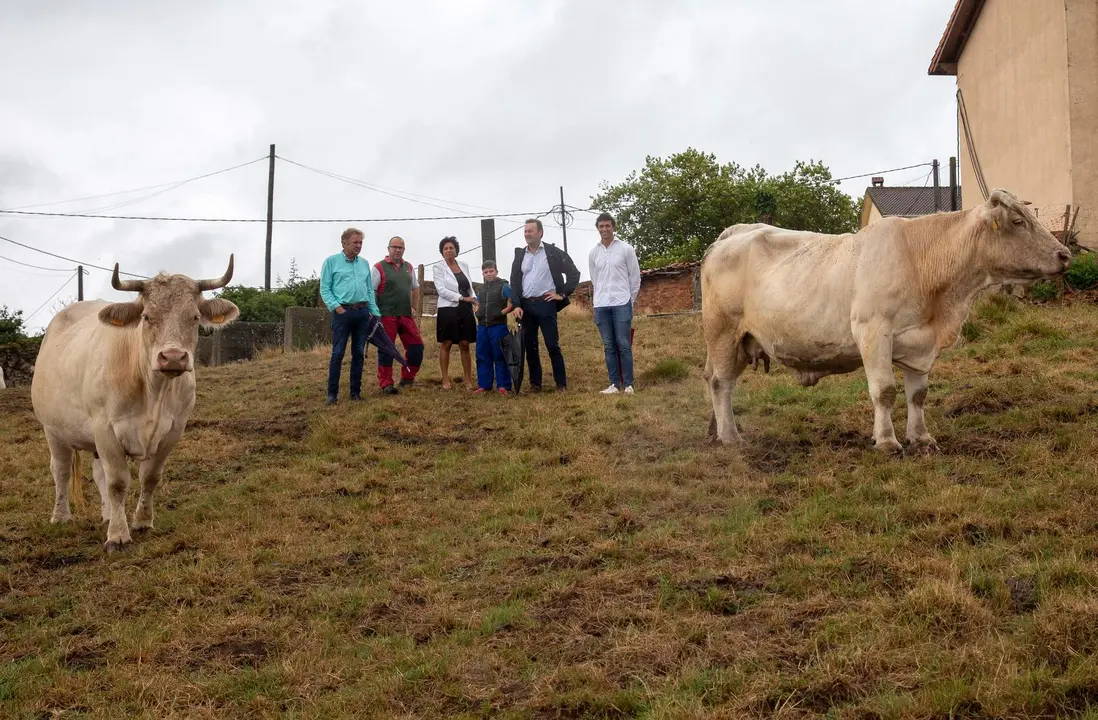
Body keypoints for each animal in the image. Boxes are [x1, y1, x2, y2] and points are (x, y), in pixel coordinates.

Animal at [32, 256, 240, 550]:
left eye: (195, 317)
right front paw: (118, 536)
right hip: (52, 428)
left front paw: (141, 522)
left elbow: (149, 477)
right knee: (60, 470)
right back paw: (61, 516)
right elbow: (118, 482)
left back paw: (108, 514)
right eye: (146, 317)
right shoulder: (104, 428)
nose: (173, 357)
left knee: (98, 473)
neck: (154, 393)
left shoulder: (173, 430)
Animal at [702, 188, 1071, 452]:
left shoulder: (919, 342)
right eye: (1018, 221)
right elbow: (884, 391)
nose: (1065, 254)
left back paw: (718, 431)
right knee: (721, 383)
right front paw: (887, 442)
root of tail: (735, 233)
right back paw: (731, 438)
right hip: (722, 331)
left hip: (742, 341)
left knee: (715, 380)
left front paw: (921, 439)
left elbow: (917, 395)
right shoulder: (873, 331)